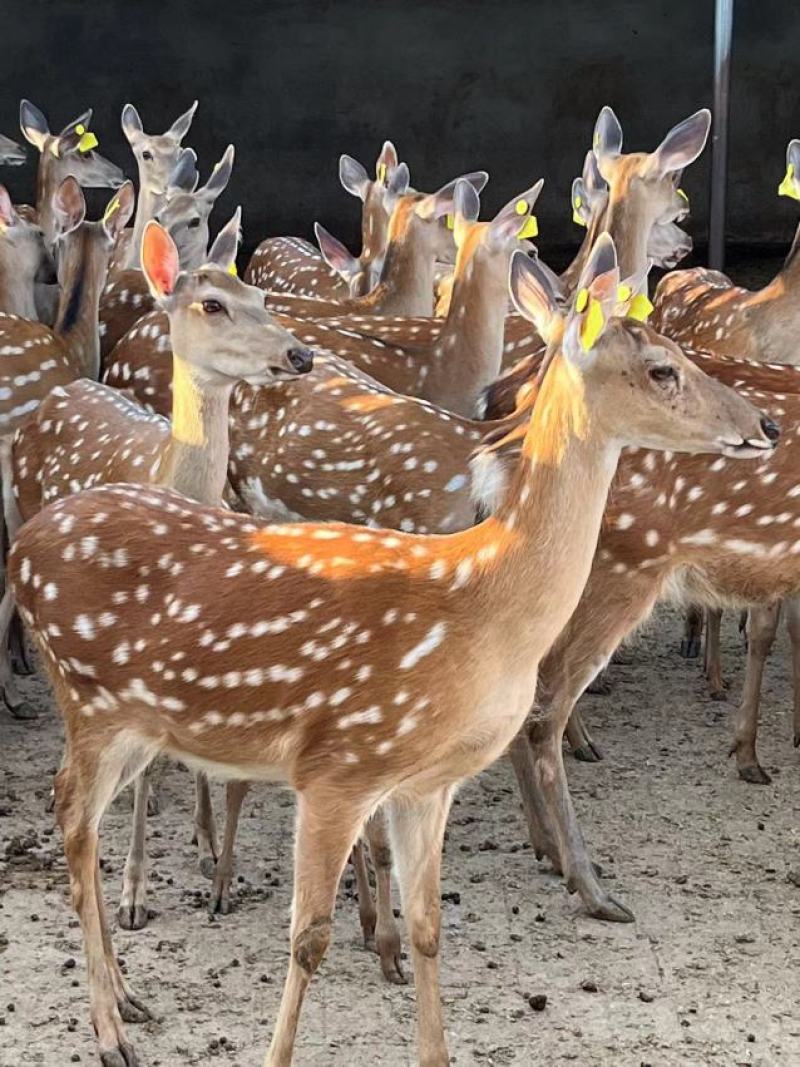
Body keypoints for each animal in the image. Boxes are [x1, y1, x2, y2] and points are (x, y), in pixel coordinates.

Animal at [8, 232, 775, 1067]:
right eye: (663, 368)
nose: (765, 423)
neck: (482, 604)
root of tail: (25, 544)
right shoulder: (337, 763)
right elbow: (308, 935)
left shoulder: (426, 781)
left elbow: (430, 927)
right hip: (88, 696)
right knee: (73, 821)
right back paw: (109, 1028)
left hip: (142, 720)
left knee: (79, 818)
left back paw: (127, 998)